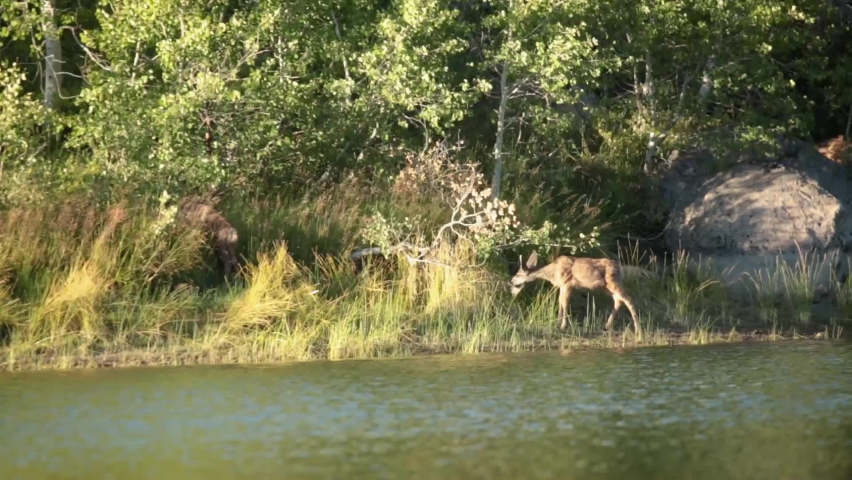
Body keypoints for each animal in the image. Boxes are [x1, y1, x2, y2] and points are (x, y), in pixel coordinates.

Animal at [508, 250, 643, 339]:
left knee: (628, 299)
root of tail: (620, 268)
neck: (552, 272)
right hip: (607, 286)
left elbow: (565, 303)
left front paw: (564, 326)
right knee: (618, 300)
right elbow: (560, 302)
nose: (511, 282)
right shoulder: (562, 286)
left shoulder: (568, 283)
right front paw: (558, 324)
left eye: (518, 274)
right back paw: (607, 326)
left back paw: (637, 329)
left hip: (612, 282)